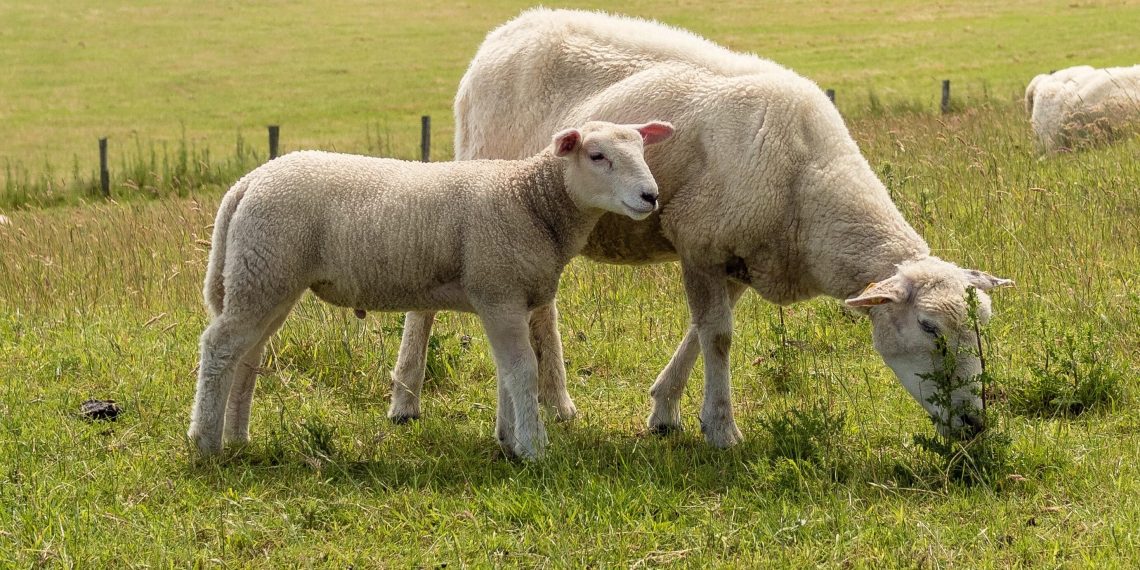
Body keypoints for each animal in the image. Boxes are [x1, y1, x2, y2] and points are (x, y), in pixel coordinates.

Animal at [187, 119, 675, 460]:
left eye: (642, 148)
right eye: (597, 155)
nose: (650, 196)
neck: (530, 201)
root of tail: (247, 183)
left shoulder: (505, 299)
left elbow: (505, 372)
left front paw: (510, 442)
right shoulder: (499, 289)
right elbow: (522, 371)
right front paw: (535, 447)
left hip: (265, 278)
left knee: (247, 355)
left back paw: (237, 436)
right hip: (264, 270)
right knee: (219, 347)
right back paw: (205, 441)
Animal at [390, 8, 1013, 447]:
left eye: (981, 326)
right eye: (929, 327)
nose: (975, 426)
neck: (808, 184)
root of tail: (507, 30)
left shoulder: (739, 256)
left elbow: (703, 329)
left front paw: (664, 410)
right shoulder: (702, 242)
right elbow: (718, 337)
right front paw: (720, 428)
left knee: (542, 307)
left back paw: (556, 401)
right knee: (429, 298)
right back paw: (405, 400)